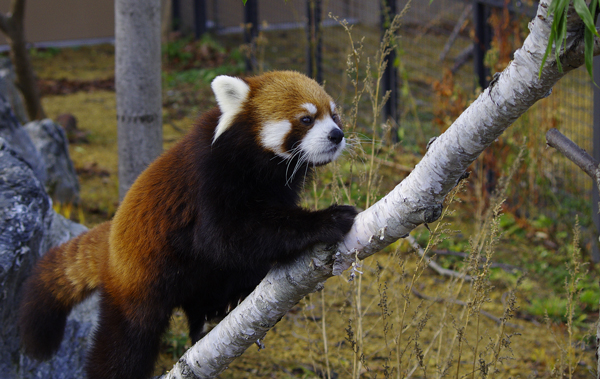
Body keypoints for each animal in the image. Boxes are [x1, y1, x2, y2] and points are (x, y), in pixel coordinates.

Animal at [18, 71, 356, 379]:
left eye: (334, 115)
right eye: (306, 119)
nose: (337, 134)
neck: (261, 165)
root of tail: (111, 240)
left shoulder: (281, 187)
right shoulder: (208, 175)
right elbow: (224, 237)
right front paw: (327, 219)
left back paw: (221, 309)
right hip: (137, 282)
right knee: (125, 344)